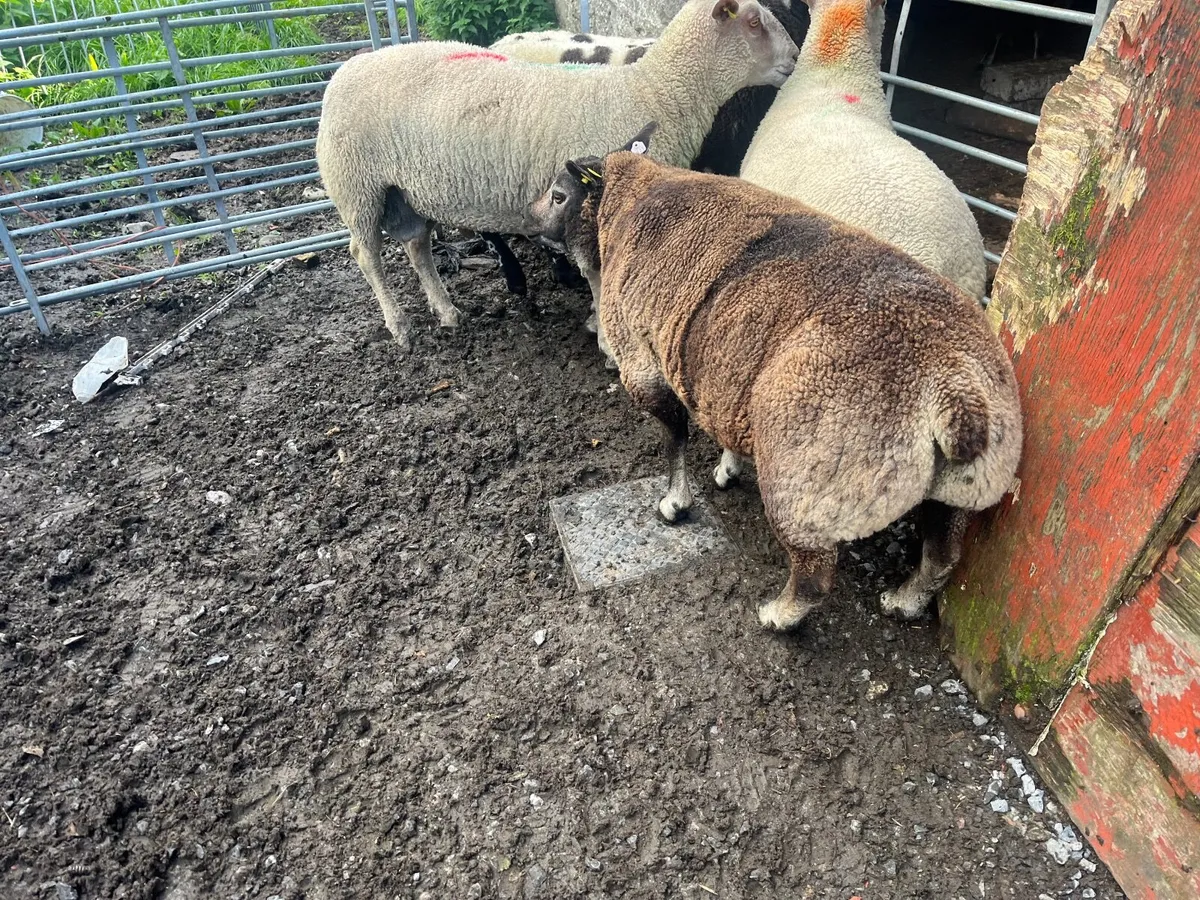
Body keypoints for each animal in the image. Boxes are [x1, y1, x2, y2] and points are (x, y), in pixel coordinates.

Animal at [315, 0, 799, 351]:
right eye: (753, 22)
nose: (795, 57)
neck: (655, 93)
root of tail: (346, 69)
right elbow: (598, 275)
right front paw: (606, 337)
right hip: (357, 185)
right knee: (366, 254)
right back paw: (400, 326)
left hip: (402, 192)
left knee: (417, 246)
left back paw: (447, 311)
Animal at [527, 129, 1022, 630]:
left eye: (558, 195)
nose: (528, 220)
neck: (628, 196)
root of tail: (953, 391)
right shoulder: (724, 370)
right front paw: (727, 467)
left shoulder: (641, 360)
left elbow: (675, 439)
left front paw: (675, 504)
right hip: (963, 486)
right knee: (942, 555)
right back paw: (904, 601)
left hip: (805, 478)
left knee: (815, 573)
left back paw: (778, 615)